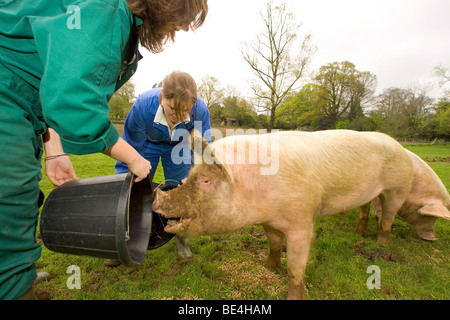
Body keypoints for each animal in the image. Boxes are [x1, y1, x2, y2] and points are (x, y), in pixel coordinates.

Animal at [153, 129, 414, 298]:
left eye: (206, 181)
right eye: (190, 176)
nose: (157, 195)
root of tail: (399, 146)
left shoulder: (302, 222)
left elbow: (295, 268)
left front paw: (293, 294)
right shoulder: (268, 221)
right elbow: (275, 243)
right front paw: (268, 267)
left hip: (398, 187)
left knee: (388, 215)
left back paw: (382, 242)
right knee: (366, 208)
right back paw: (359, 234)